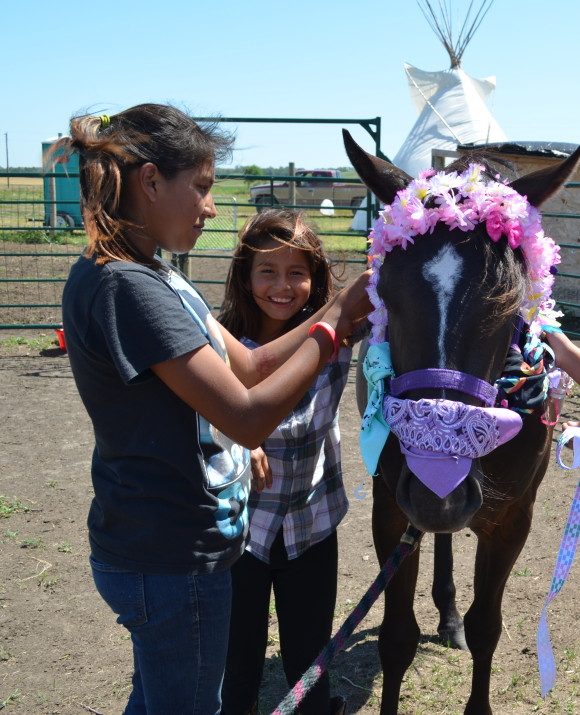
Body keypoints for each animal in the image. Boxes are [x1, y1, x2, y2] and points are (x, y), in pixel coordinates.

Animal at [344, 129, 580, 715]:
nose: (440, 486)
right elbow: (396, 636)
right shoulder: (391, 507)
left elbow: (486, 628)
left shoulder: (513, 520)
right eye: (384, 292)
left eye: (509, 302)